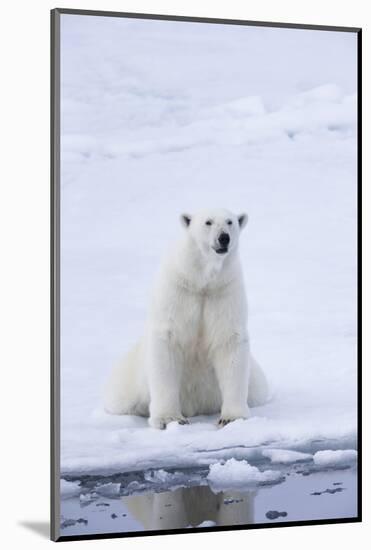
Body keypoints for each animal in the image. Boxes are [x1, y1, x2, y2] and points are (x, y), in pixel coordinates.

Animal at [104, 209, 270, 430]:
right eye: (208, 222)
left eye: (230, 222)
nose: (223, 238)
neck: (201, 281)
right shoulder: (178, 292)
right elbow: (167, 342)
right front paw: (169, 419)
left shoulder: (224, 292)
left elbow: (229, 342)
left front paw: (232, 418)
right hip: (128, 379)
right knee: (119, 397)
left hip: (254, 381)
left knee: (259, 389)